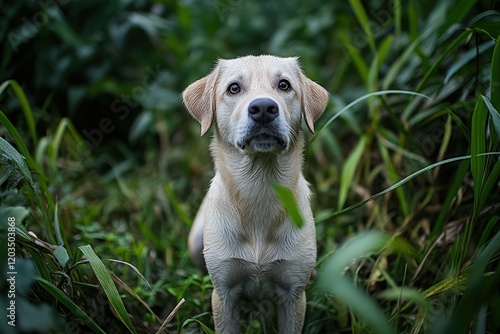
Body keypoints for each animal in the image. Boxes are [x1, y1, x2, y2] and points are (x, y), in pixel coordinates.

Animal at [182, 53, 330, 332]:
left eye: (284, 85)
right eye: (234, 88)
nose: (263, 108)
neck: (259, 187)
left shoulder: (293, 295)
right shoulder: (224, 295)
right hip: (195, 241)